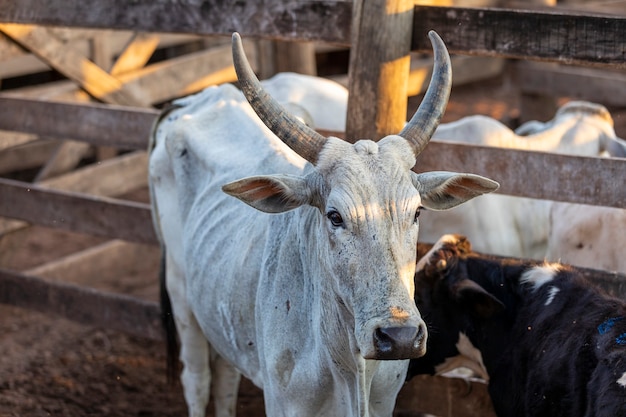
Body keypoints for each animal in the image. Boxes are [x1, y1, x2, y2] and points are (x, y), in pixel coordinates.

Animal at [149, 32, 494, 416]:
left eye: (417, 212)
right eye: (335, 216)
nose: (399, 336)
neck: (351, 370)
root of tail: (199, 96)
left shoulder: (384, 403)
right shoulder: (282, 403)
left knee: (225, 379)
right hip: (181, 295)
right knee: (197, 380)